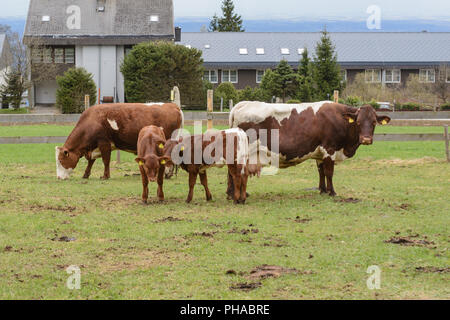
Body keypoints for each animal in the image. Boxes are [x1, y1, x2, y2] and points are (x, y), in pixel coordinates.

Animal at [229, 101, 390, 196]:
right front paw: (332, 192)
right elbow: (329, 172)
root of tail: (241, 104)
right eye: (358, 122)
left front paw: (323, 190)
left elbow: (321, 172)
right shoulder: (329, 149)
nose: (366, 139)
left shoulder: (320, 153)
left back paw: (231, 194)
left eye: (374, 122)